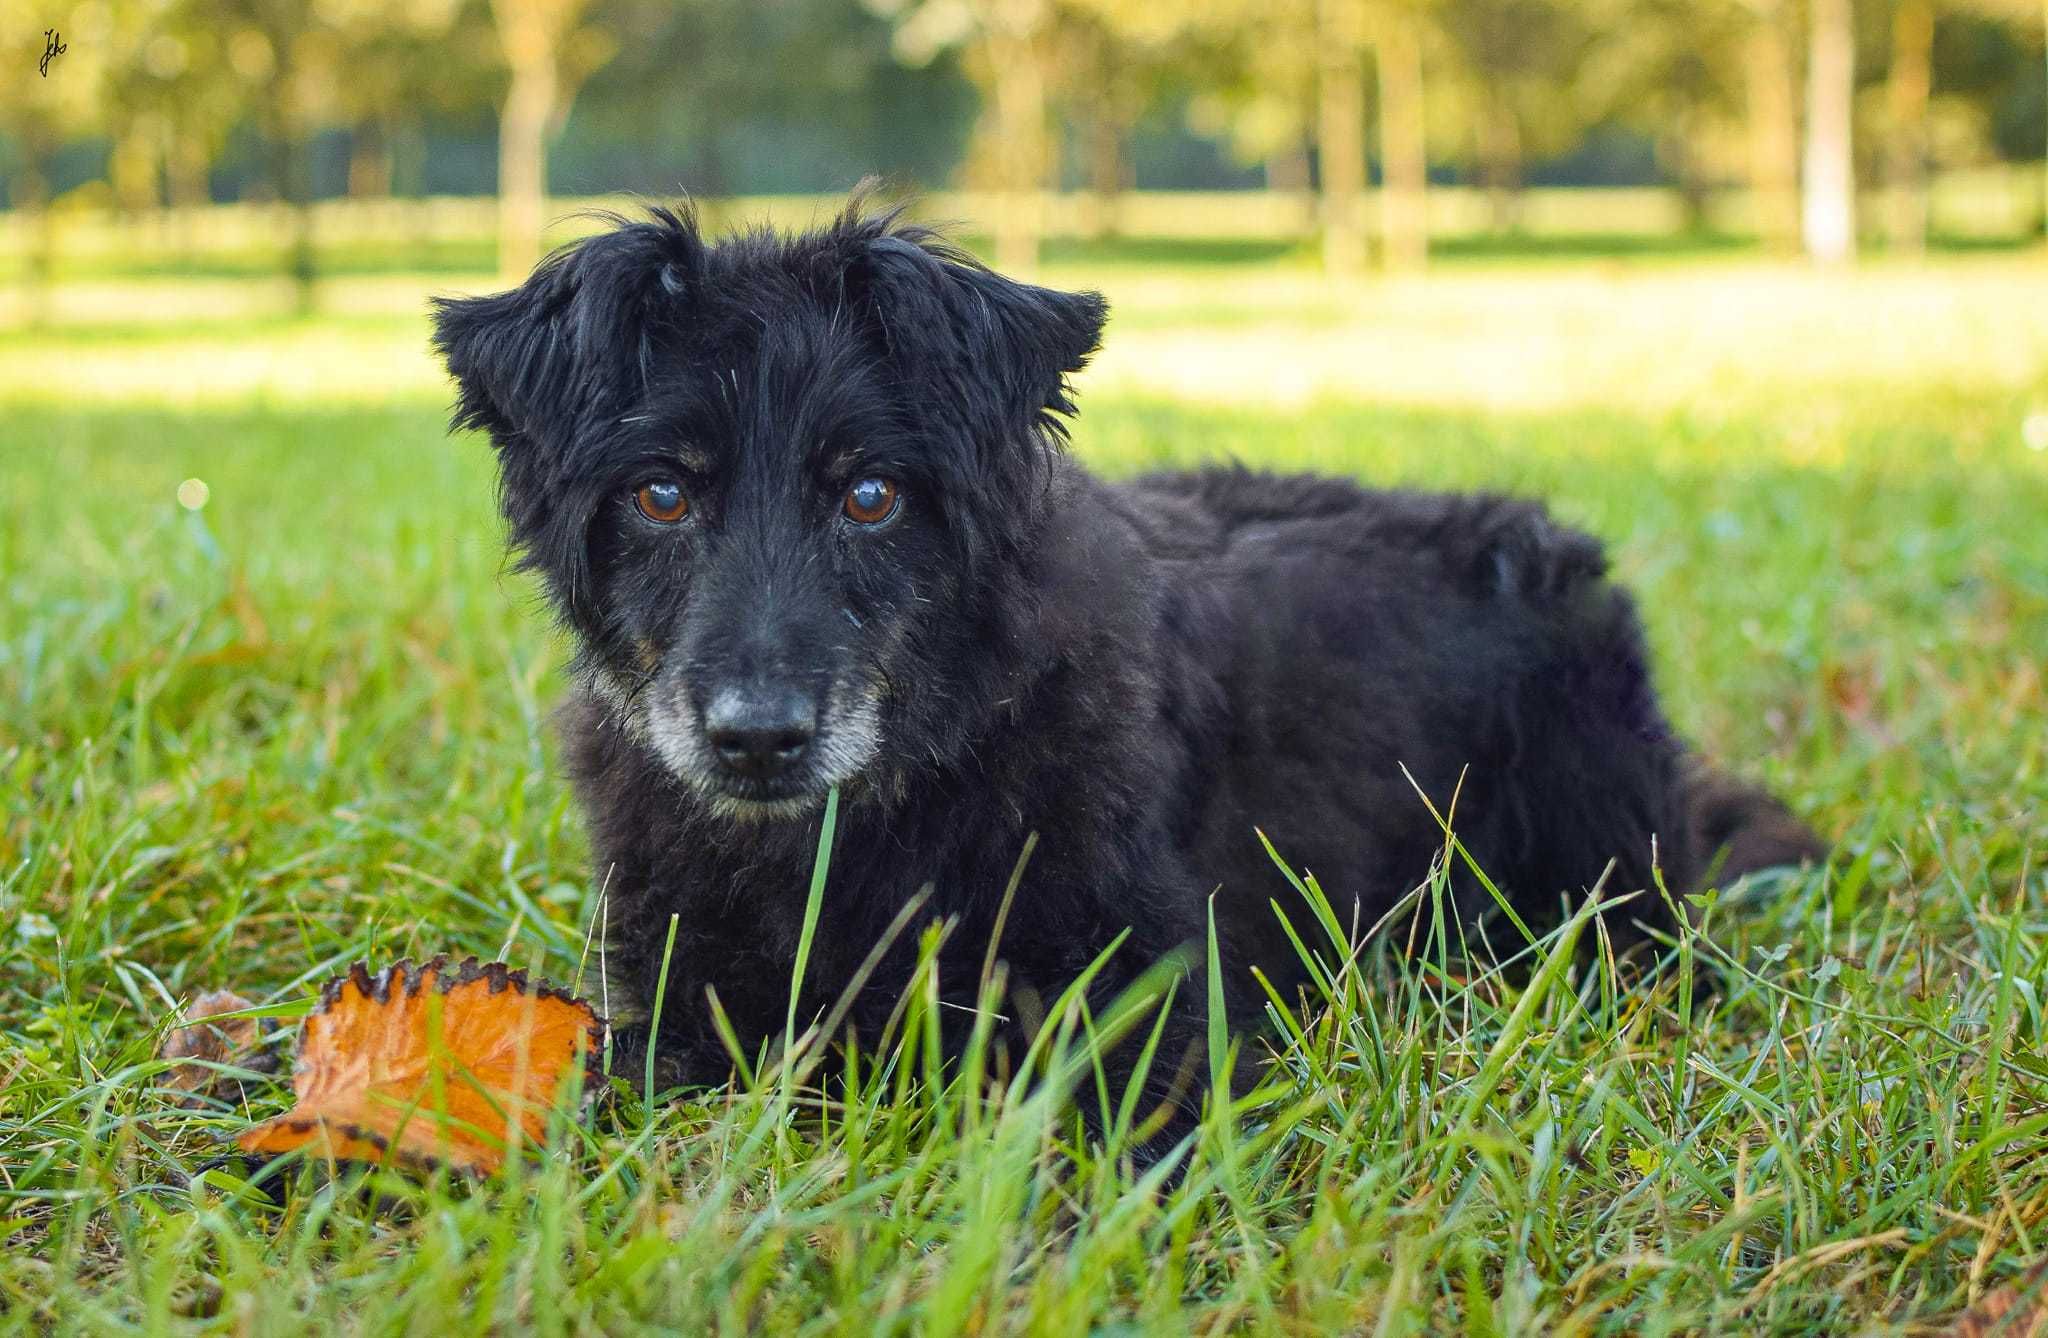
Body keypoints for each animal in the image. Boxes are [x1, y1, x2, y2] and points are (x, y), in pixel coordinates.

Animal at [428, 200, 1810, 1131]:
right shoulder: (670, 1009)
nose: (756, 738)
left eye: (871, 495)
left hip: (1597, 897)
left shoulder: (1149, 1017)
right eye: (660, 493)